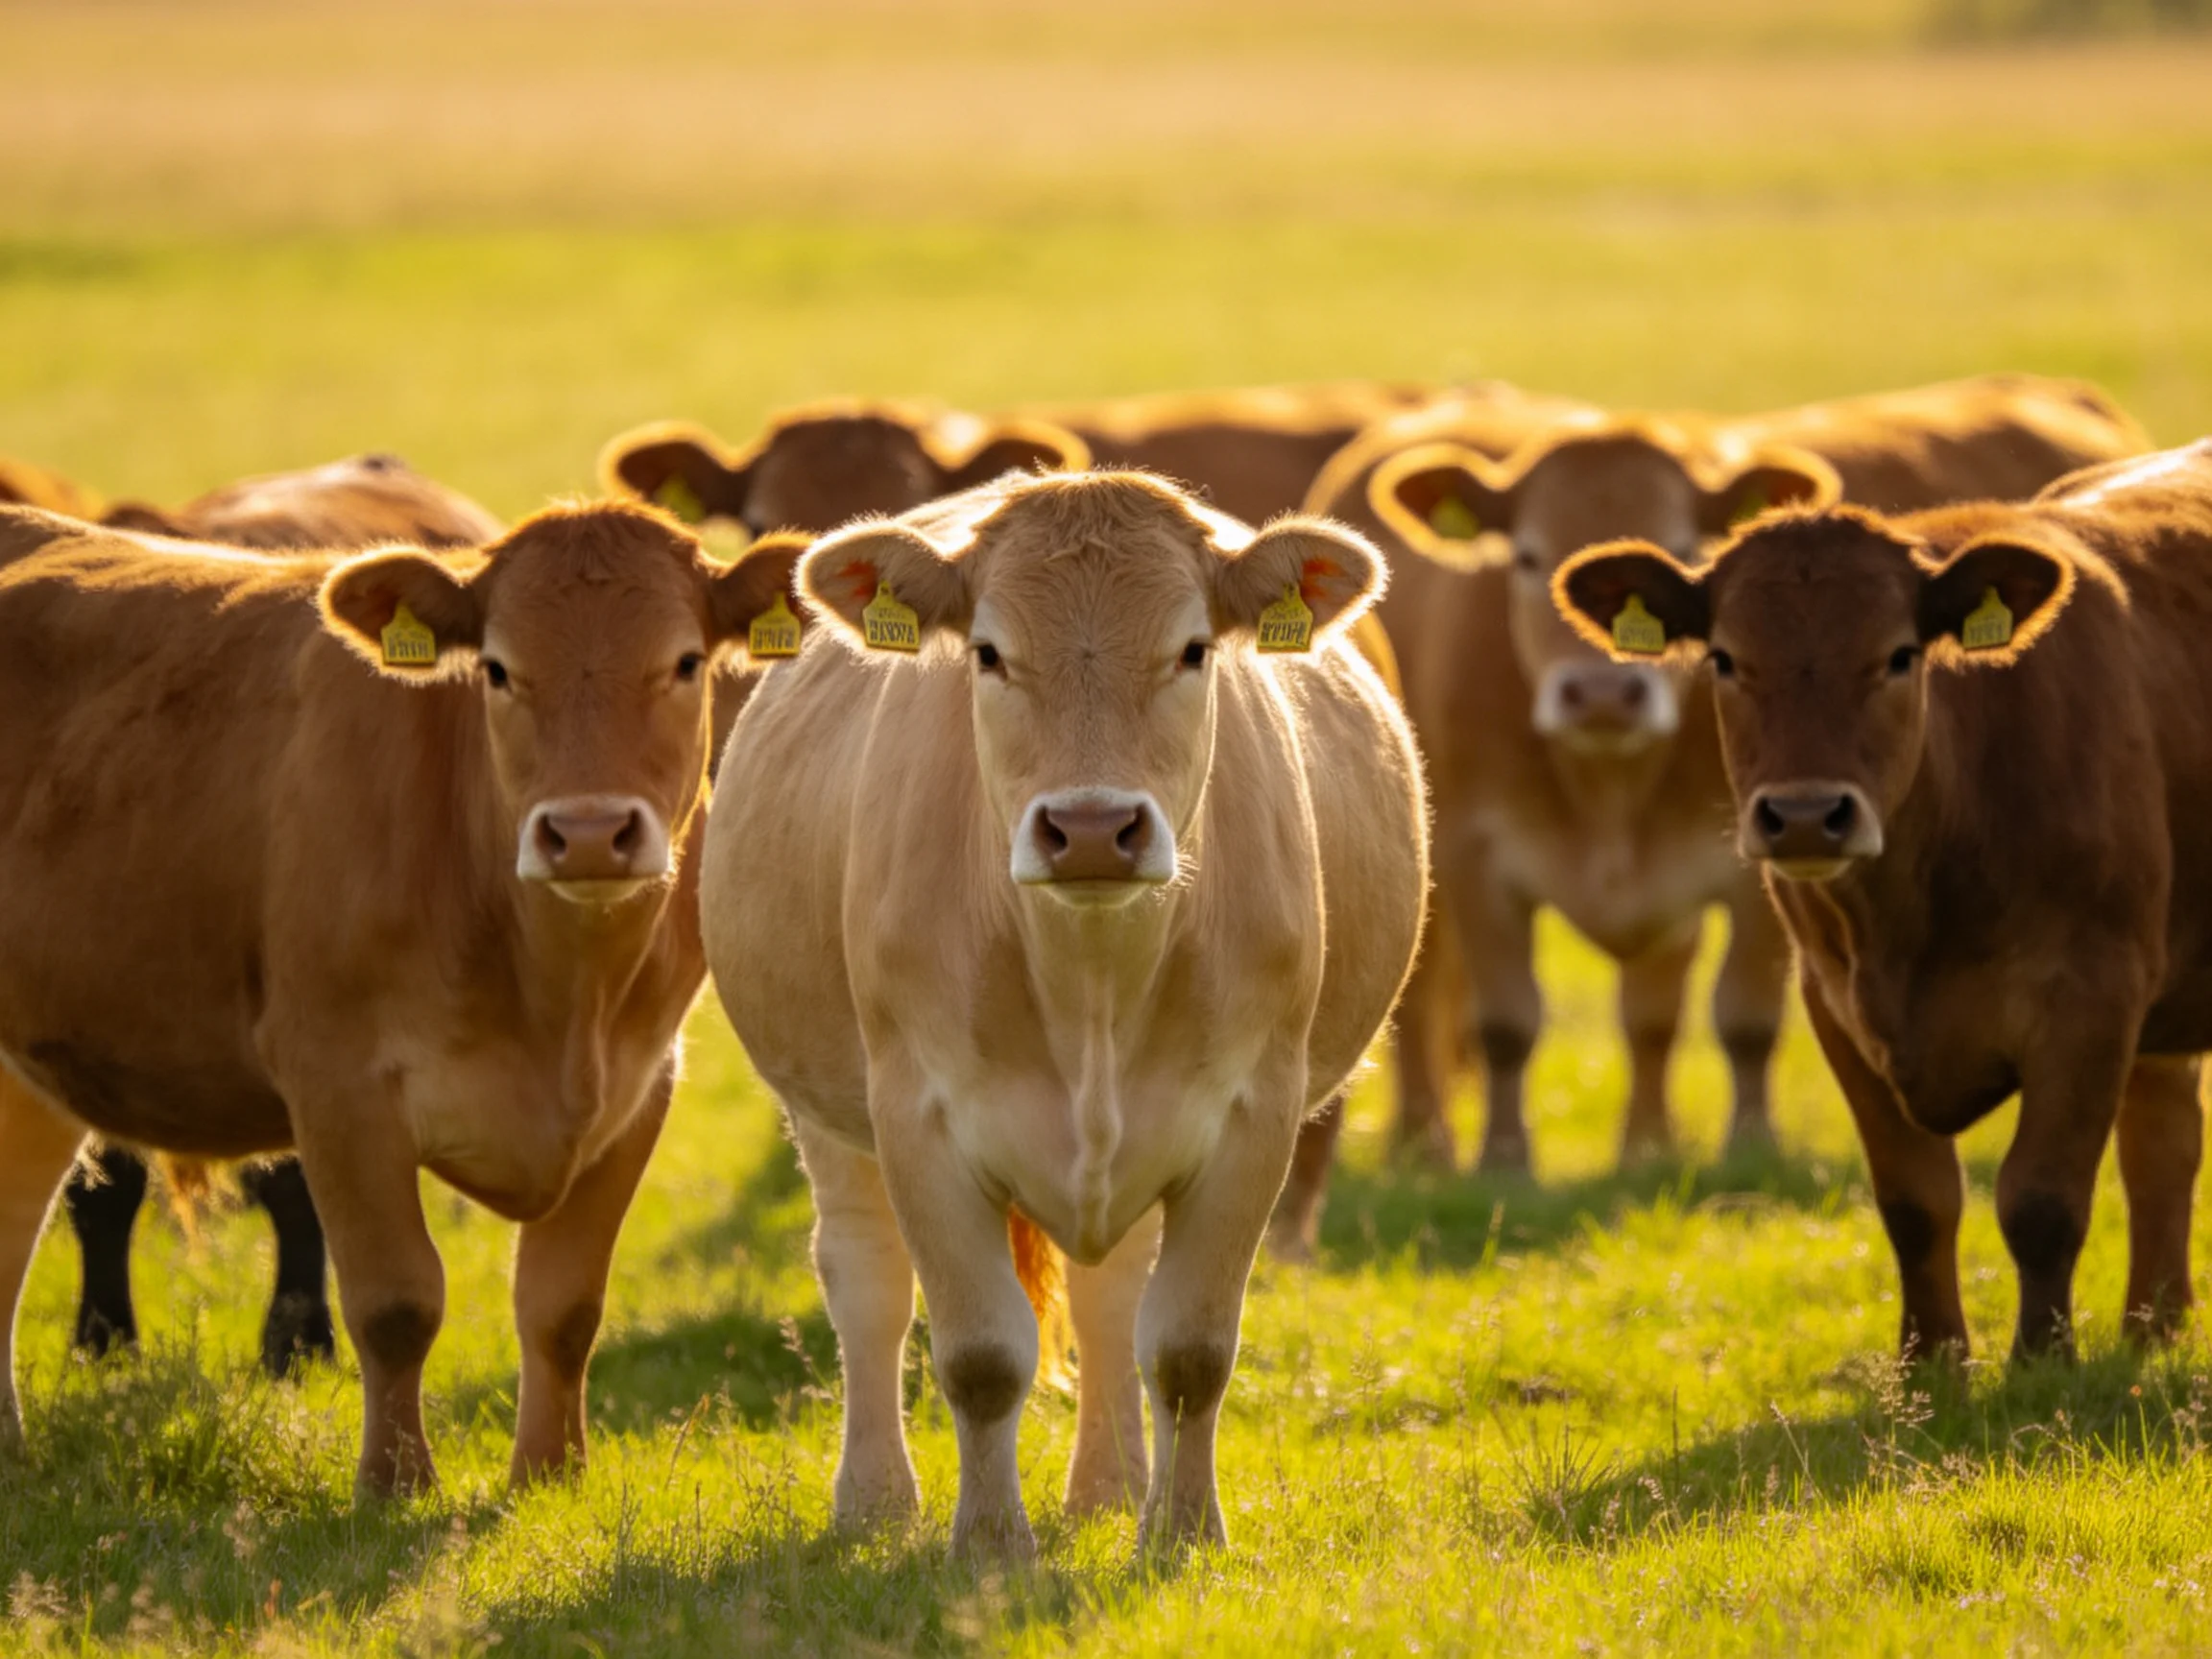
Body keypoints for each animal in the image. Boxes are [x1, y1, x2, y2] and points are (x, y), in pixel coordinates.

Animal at [701, 470, 1427, 1556]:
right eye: (989, 653)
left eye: (1194, 649)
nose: (1090, 828)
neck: (1091, 982)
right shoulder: (917, 1117)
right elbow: (981, 1356)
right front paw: (990, 1547)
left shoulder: (1253, 1116)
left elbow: (1189, 1349)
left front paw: (1181, 1535)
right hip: (825, 1108)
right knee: (867, 1282)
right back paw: (874, 1501)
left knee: (1108, 1294)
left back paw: (1110, 1488)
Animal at [1312, 374, 2148, 1183]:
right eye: (1523, 556)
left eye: (1687, 544)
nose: (1604, 694)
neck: (1608, 785)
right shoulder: (1473, 855)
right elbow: (1507, 1022)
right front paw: (1503, 1160)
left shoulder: (1760, 859)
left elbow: (1738, 1019)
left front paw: (1741, 1147)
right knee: (1422, 1000)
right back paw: (1424, 1143)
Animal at [1550, 438, 2212, 1361]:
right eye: (1724, 658)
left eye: (1900, 655)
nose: (1803, 816)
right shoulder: (1836, 1005)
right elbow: (1915, 1202)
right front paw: (1929, 1363)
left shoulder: (2093, 998)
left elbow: (2042, 1200)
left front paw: (2042, 1362)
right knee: (2164, 1146)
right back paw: (2154, 1332)